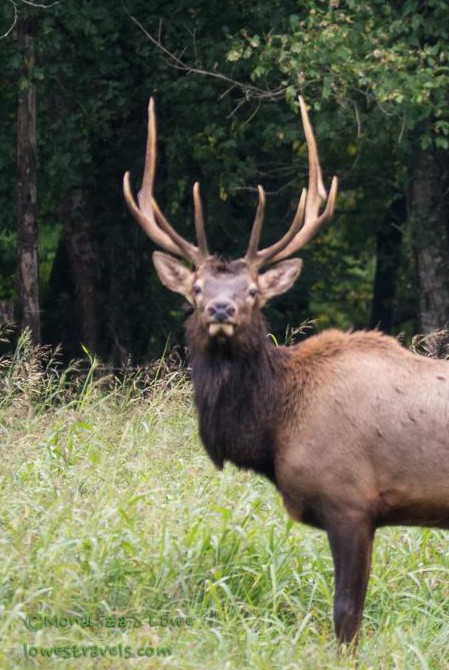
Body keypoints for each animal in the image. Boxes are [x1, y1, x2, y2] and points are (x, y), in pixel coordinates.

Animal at [123, 96, 449, 646]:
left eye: (253, 291)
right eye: (196, 288)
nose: (221, 310)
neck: (273, 430)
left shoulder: (350, 501)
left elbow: (346, 618)